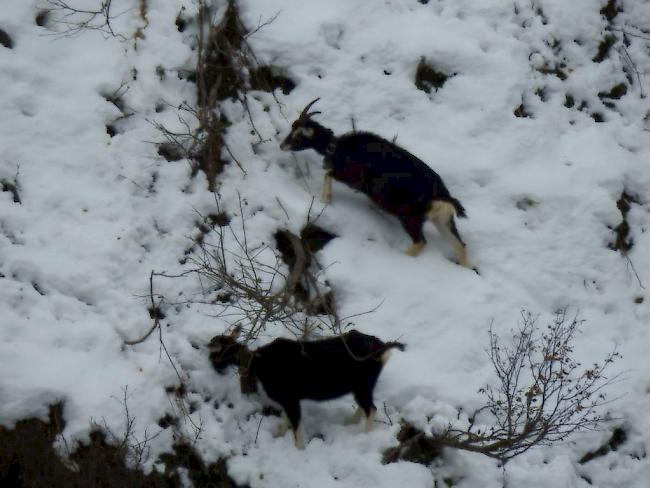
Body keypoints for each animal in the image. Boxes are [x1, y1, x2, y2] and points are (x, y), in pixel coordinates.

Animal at [208, 330, 402, 448]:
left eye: (213, 354)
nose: (214, 369)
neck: (259, 361)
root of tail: (382, 348)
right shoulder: (287, 401)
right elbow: (286, 419)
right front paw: (279, 435)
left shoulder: (290, 400)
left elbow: (295, 424)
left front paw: (299, 448)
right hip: (361, 387)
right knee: (366, 406)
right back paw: (350, 422)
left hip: (362, 385)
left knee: (372, 409)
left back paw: (365, 435)